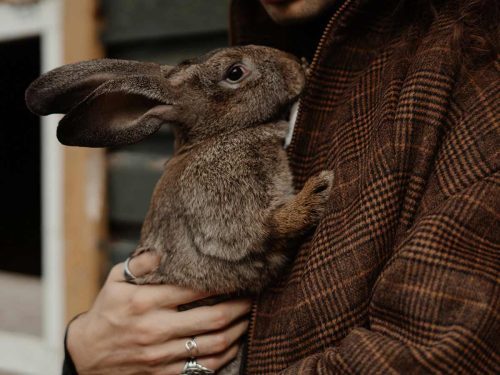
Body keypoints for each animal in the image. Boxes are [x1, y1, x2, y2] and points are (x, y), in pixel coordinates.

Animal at [25, 44, 334, 374]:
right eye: (234, 72)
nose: (296, 64)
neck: (217, 135)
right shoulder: (226, 207)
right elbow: (265, 228)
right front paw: (316, 193)